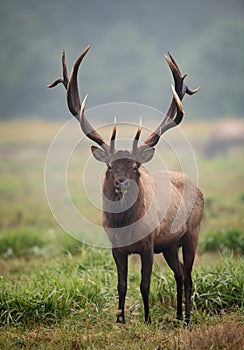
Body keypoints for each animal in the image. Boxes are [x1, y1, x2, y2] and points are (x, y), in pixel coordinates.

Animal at [48, 44, 204, 326]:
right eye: (110, 167)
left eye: (135, 167)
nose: (122, 182)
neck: (125, 227)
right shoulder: (116, 247)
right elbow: (121, 285)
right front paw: (119, 320)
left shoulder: (148, 244)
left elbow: (144, 284)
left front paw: (147, 320)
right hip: (170, 245)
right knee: (178, 274)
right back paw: (177, 316)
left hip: (192, 233)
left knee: (188, 277)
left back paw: (187, 319)